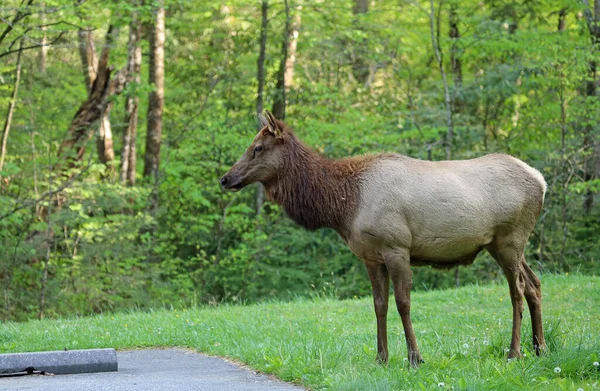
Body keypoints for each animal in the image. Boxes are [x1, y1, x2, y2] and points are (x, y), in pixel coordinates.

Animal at [220, 111, 548, 368]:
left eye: (257, 148)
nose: (225, 178)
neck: (344, 207)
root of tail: (542, 181)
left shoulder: (396, 247)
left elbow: (403, 302)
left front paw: (415, 357)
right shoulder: (370, 256)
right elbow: (379, 304)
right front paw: (381, 357)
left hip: (510, 238)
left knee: (517, 289)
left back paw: (514, 352)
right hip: (503, 244)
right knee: (534, 283)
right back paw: (540, 347)